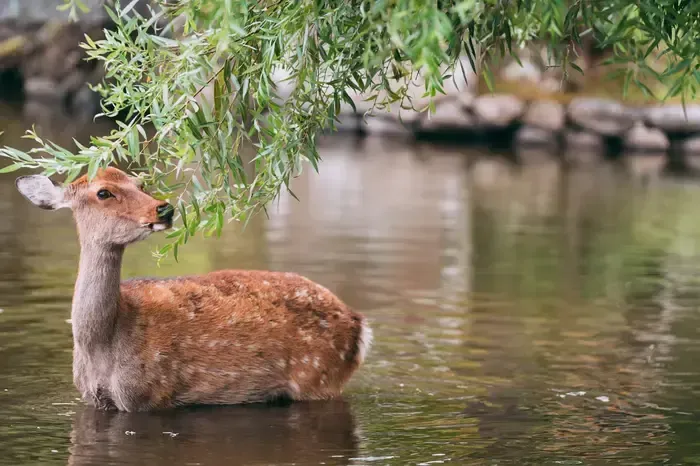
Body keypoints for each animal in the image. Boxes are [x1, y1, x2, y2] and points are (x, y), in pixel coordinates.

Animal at [13, 167, 372, 412]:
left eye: (139, 183)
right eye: (103, 192)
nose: (163, 208)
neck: (102, 344)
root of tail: (359, 324)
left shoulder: (150, 395)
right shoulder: (95, 401)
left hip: (318, 376)